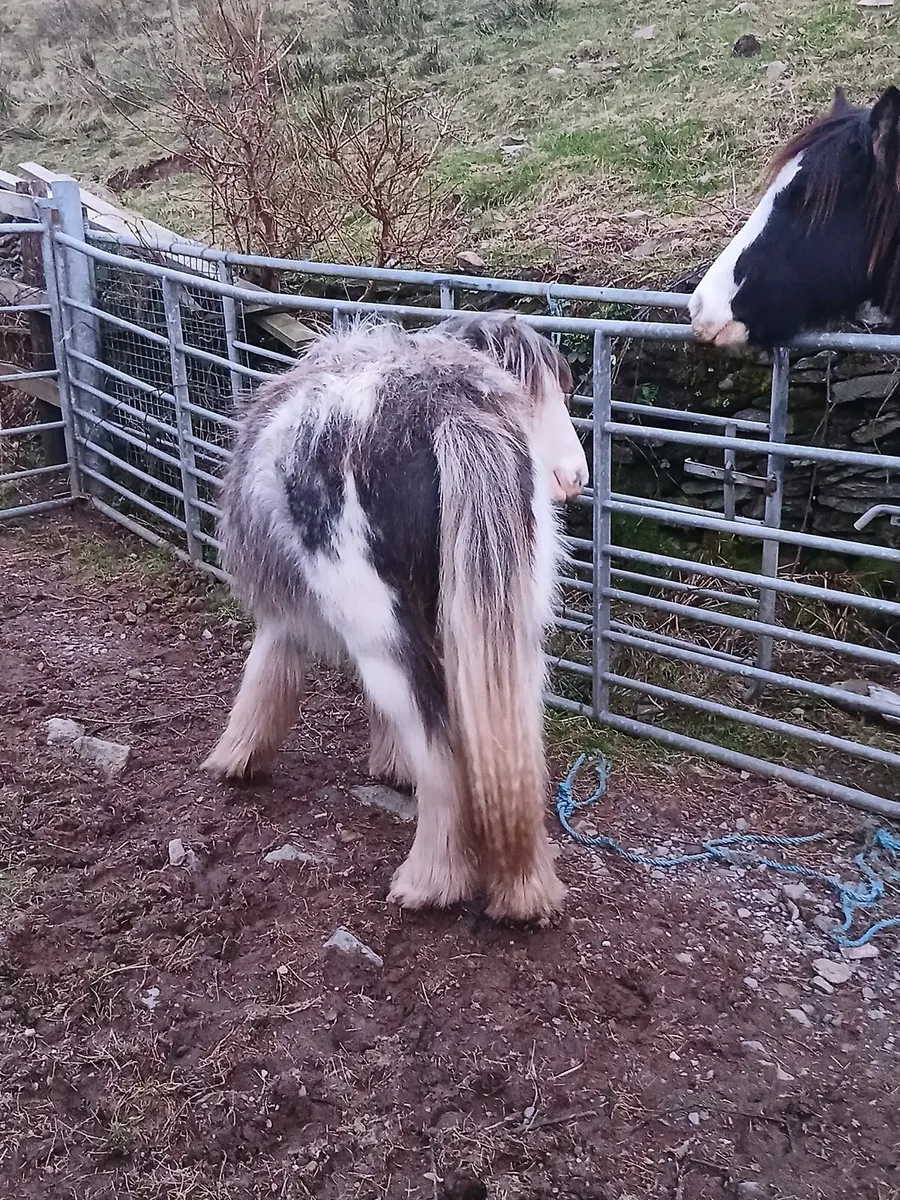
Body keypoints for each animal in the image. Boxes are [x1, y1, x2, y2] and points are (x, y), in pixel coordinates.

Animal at [202, 313, 589, 922]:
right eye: (533, 393)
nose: (575, 477)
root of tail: (447, 404)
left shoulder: (285, 610)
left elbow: (267, 669)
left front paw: (236, 757)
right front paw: (390, 766)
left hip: (379, 627)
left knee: (437, 741)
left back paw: (431, 881)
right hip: (506, 629)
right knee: (508, 748)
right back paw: (524, 889)